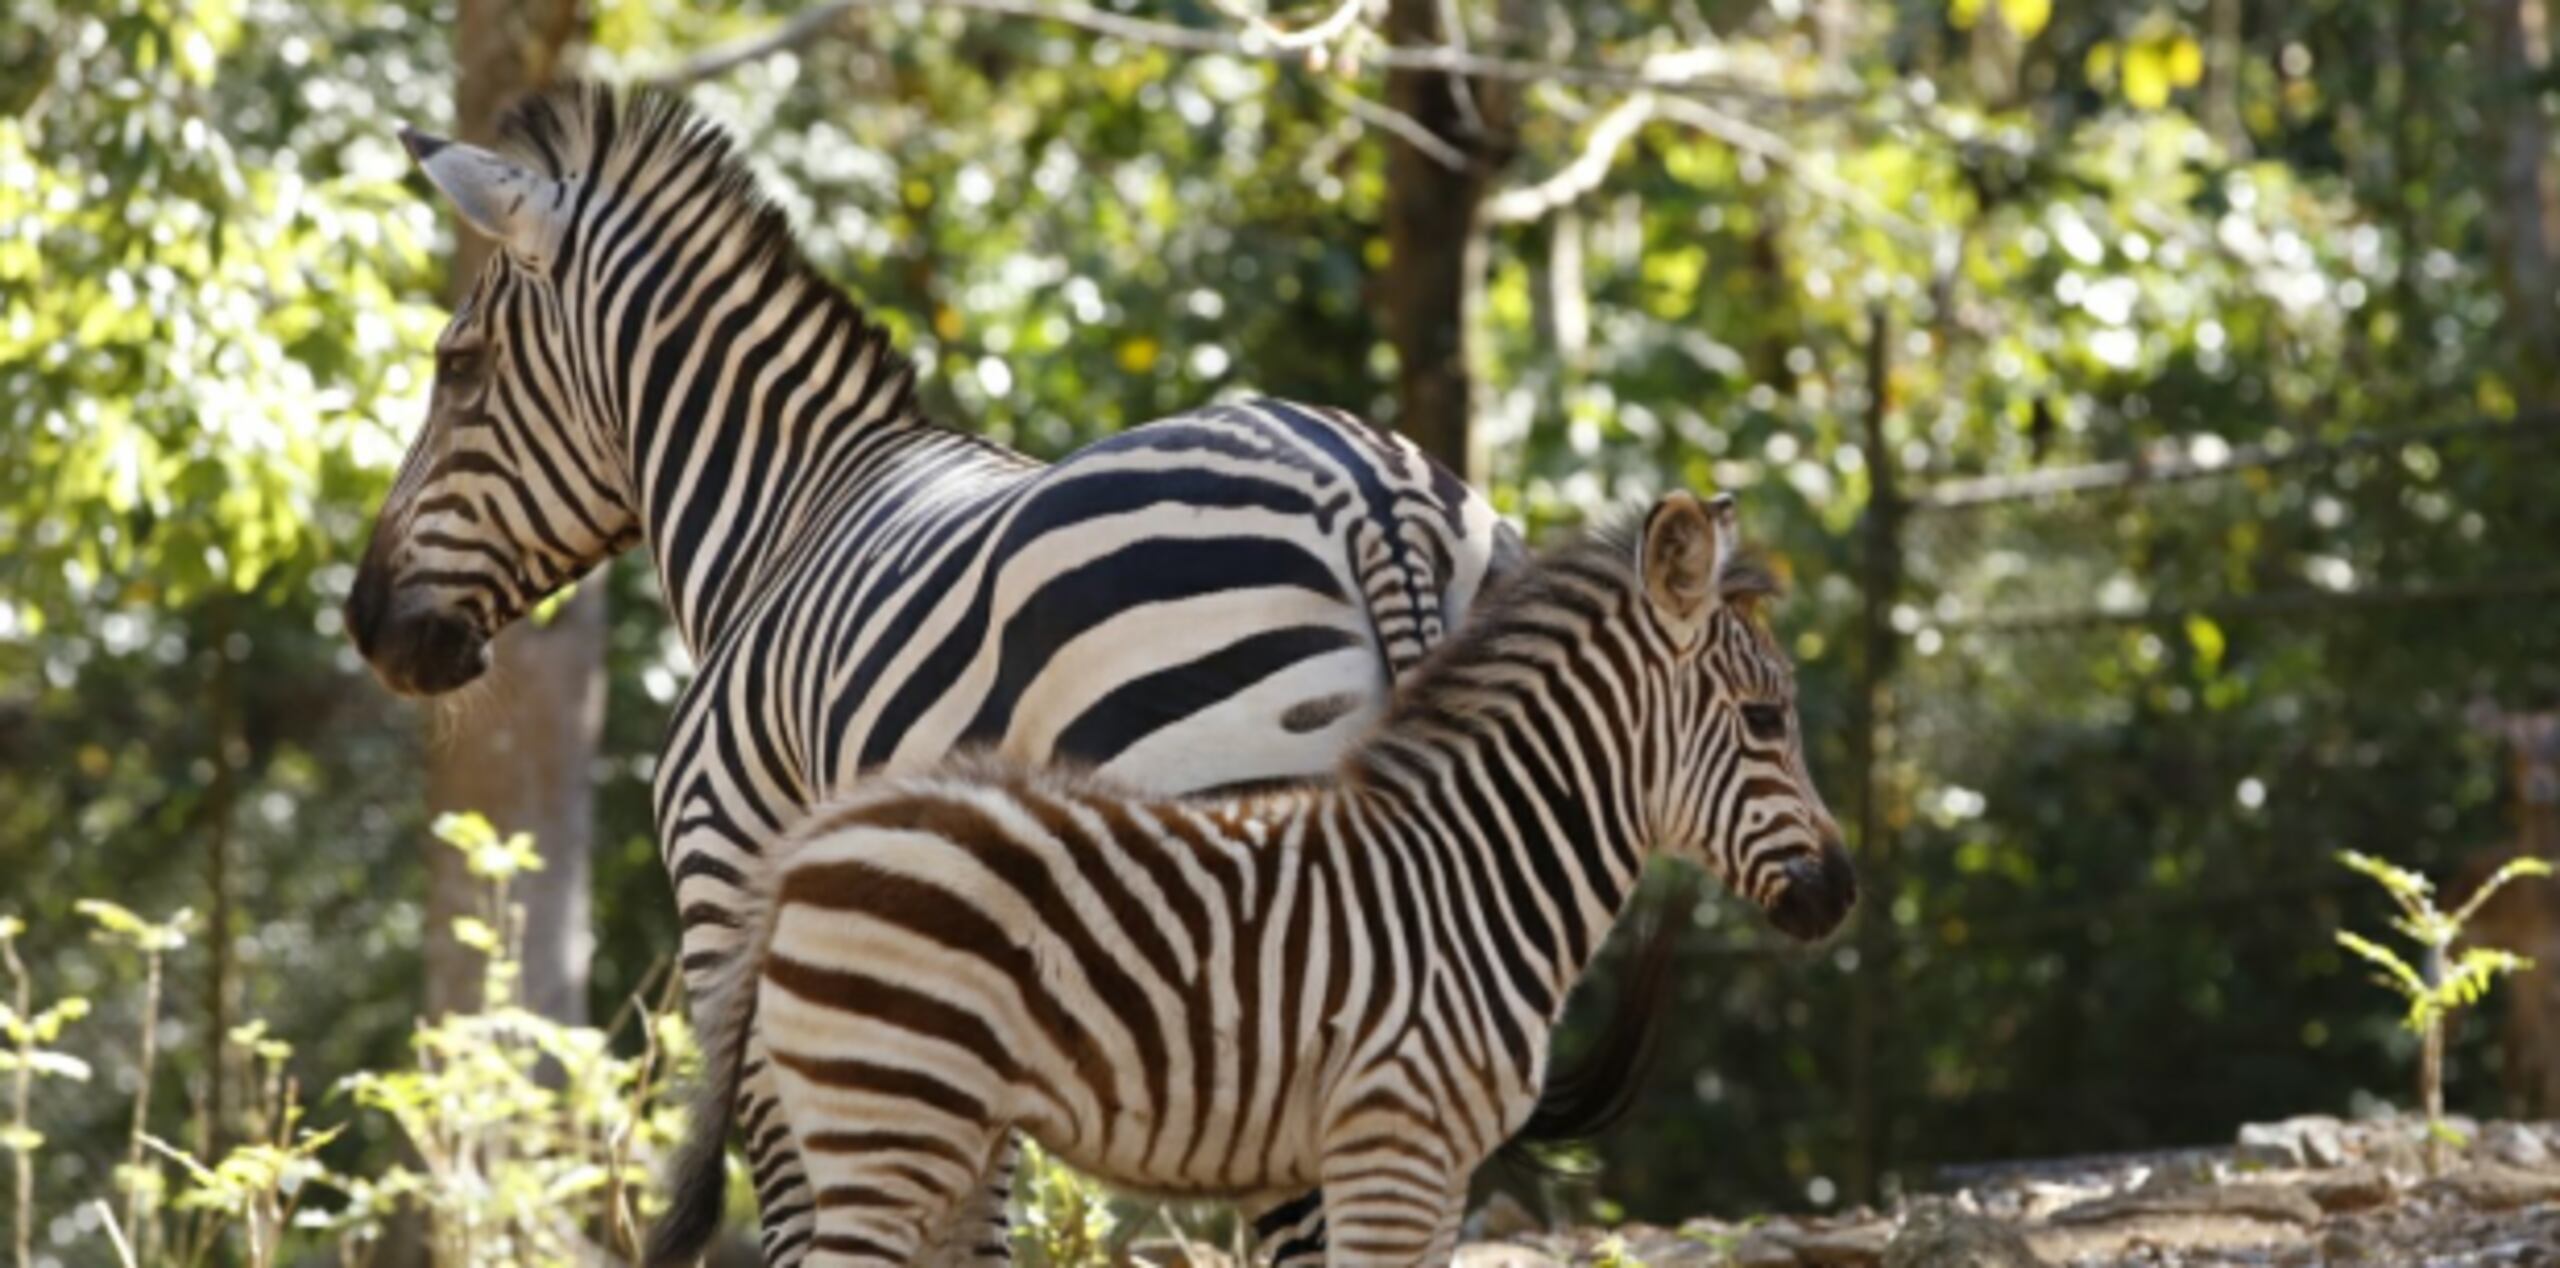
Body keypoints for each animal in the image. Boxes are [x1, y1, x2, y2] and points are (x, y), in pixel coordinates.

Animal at [350, 84, 1669, 1265]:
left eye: (456, 365)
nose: (366, 623)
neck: (782, 516)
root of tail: (1374, 493)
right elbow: (971, 1209)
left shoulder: (734, 886)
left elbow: (803, 1201)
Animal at [650, 489, 1863, 1268]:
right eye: (1767, 720)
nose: (1845, 893)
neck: (1469, 878)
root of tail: (812, 842)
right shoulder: (1388, 1147)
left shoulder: (1438, 1173)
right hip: (883, 1121)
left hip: (930, 1124)